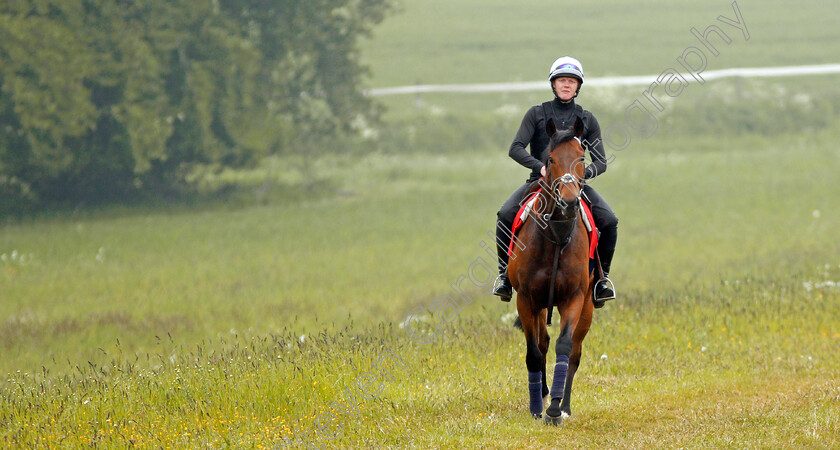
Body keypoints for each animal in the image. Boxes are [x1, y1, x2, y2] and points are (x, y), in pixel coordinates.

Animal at [506, 115, 596, 426]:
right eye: (551, 159)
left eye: (581, 157)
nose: (569, 203)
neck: (556, 235)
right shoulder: (526, 299)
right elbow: (534, 352)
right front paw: (537, 406)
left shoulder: (574, 297)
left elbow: (565, 346)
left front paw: (556, 410)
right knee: (542, 343)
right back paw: (543, 393)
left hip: (588, 306)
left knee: (575, 352)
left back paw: (563, 404)